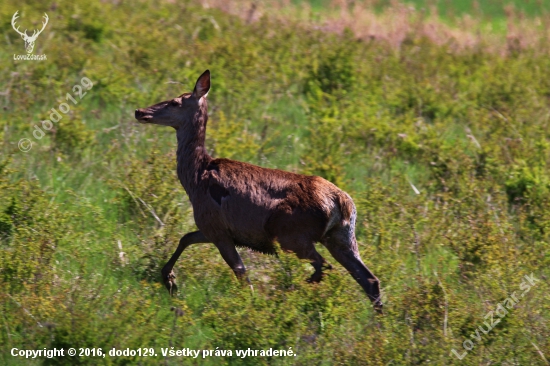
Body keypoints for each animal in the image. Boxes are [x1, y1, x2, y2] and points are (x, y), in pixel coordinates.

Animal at [135, 71, 384, 312]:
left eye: (175, 101)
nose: (140, 111)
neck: (195, 179)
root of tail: (341, 202)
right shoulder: (214, 228)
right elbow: (186, 238)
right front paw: (169, 280)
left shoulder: (214, 225)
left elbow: (241, 272)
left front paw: (249, 303)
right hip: (341, 237)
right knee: (369, 279)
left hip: (292, 235)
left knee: (324, 267)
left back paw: (285, 295)